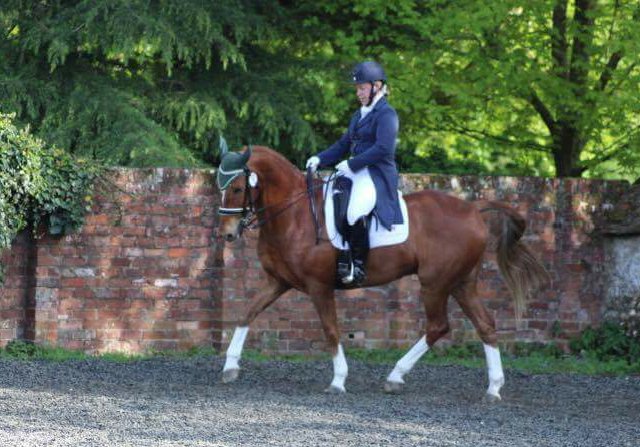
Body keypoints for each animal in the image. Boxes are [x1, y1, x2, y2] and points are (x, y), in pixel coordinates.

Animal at [217, 145, 548, 401]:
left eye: (236, 188)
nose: (227, 234)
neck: (295, 215)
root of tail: (472, 208)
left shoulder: (319, 286)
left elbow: (331, 330)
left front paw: (338, 381)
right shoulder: (278, 281)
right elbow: (246, 314)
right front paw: (230, 367)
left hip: (435, 283)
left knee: (438, 326)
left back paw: (396, 376)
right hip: (461, 283)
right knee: (485, 325)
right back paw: (493, 389)